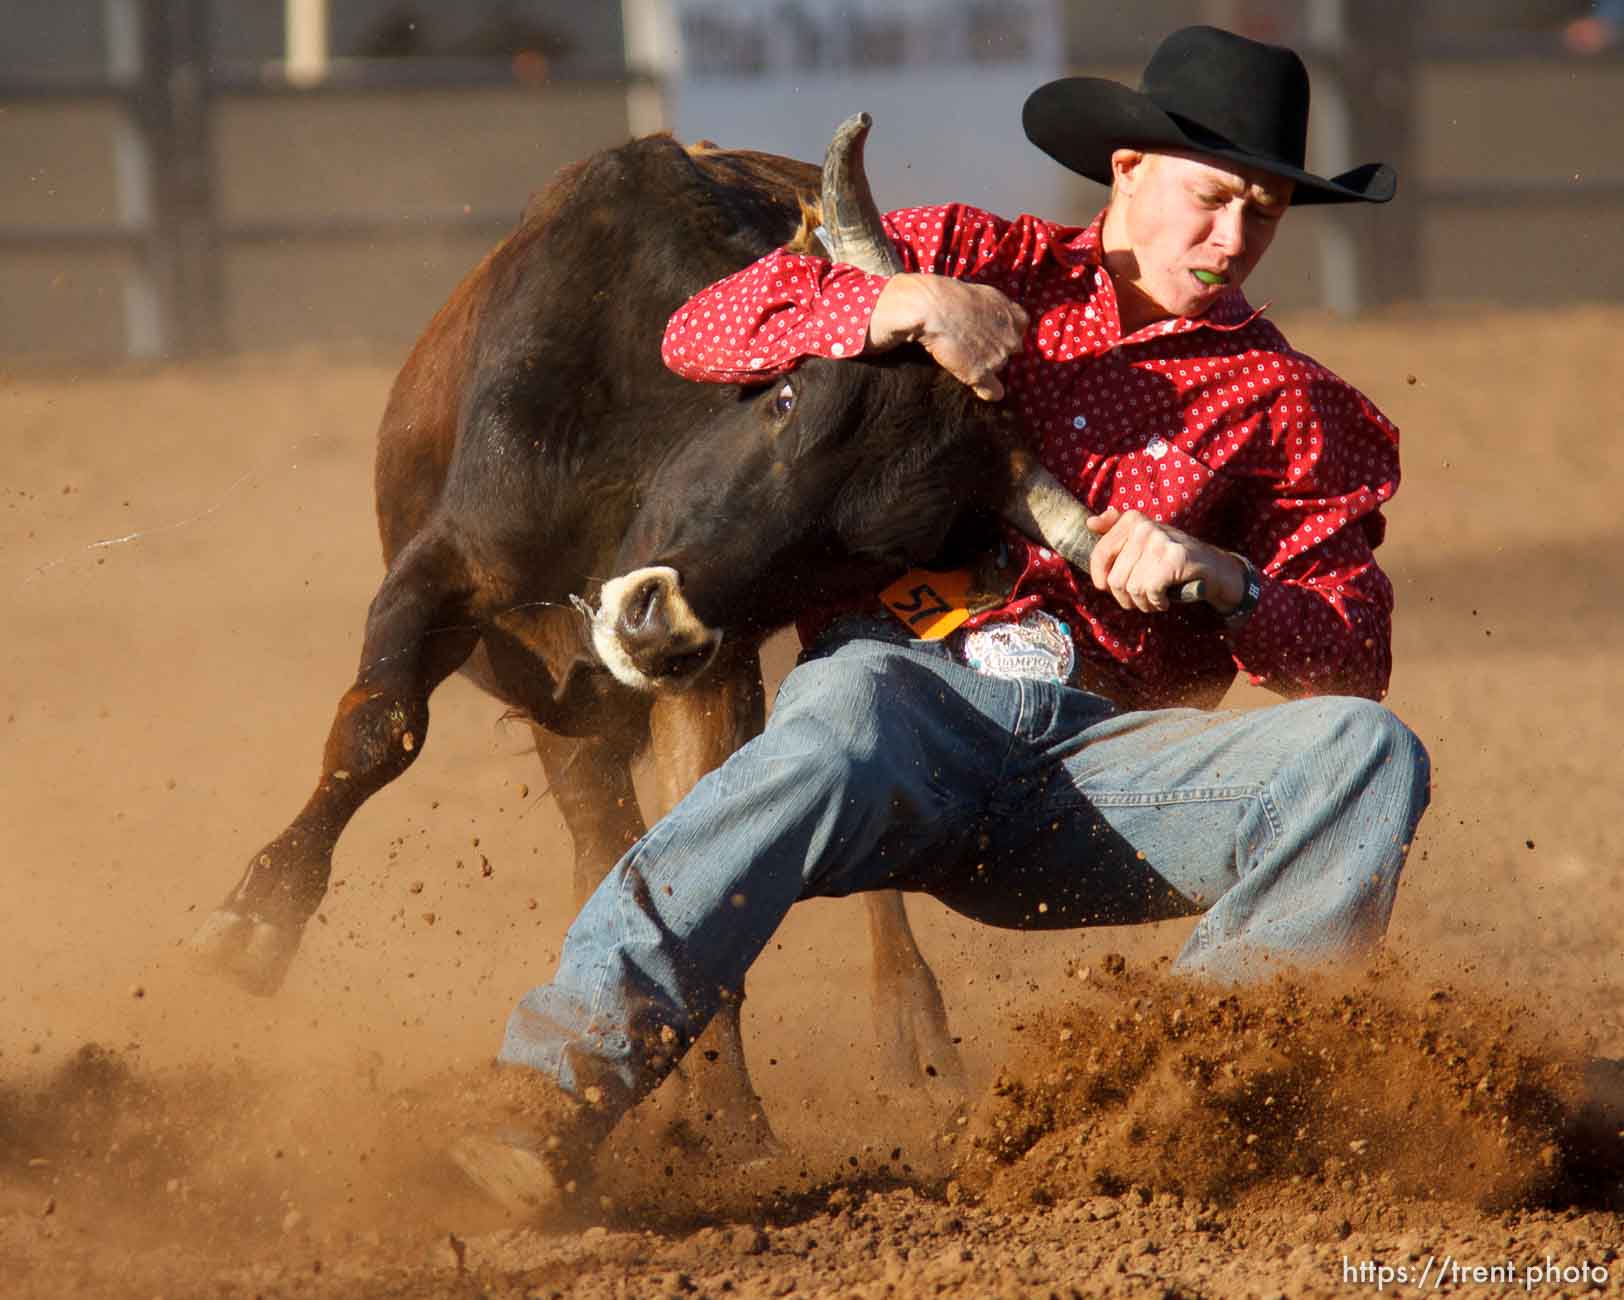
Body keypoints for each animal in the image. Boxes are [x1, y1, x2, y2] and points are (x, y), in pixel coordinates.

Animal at [187, 115, 1103, 1149]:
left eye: (874, 551)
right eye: (787, 397)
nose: (657, 625)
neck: (626, 446)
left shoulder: (713, 676)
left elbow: (701, 857)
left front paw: (732, 1124)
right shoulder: (444, 567)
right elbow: (379, 728)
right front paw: (252, 923)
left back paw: (918, 1039)